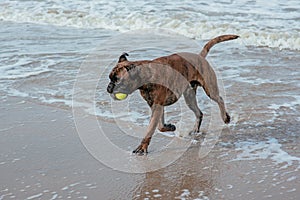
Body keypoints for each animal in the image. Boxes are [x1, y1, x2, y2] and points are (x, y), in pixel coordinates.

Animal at [106, 34, 238, 154]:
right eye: (110, 78)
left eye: (117, 80)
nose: (109, 87)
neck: (146, 76)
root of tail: (200, 56)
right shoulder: (156, 106)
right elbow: (159, 126)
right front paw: (169, 127)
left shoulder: (157, 107)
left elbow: (150, 129)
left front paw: (142, 147)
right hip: (189, 98)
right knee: (199, 113)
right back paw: (195, 129)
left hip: (210, 90)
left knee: (220, 99)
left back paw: (225, 117)